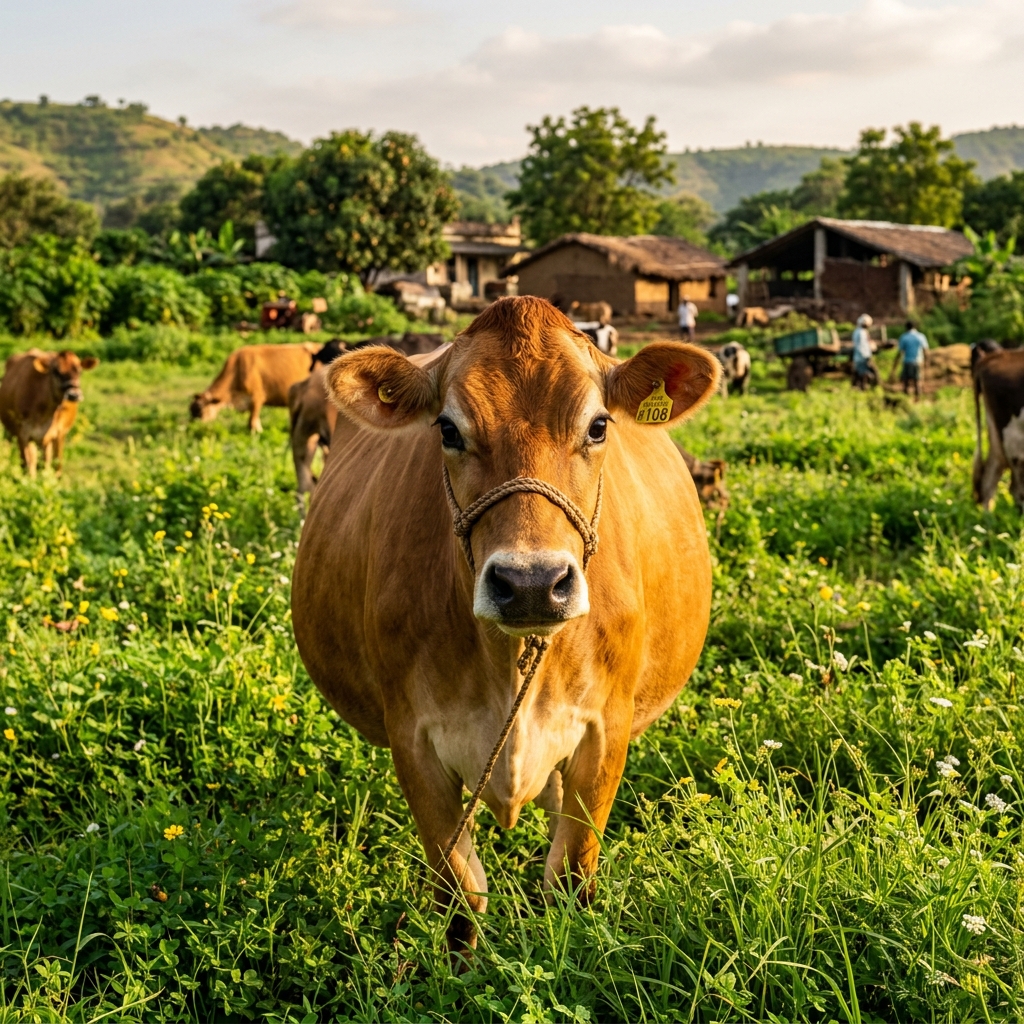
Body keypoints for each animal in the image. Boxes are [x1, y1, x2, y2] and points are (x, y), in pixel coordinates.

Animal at [0, 349, 99, 477]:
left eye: (80, 371)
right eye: (56, 371)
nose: (74, 395)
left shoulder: (59, 434)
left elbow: (55, 466)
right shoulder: (22, 434)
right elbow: (28, 466)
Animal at [189, 343, 320, 432]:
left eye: (200, 411)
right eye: (191, 411)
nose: (192, 426)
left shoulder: (257, 396)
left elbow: (252, 420)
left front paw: (256, 433)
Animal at [291, 296, 720, 950]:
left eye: (598, 426)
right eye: (448, 429)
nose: (531, 584)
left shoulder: (606, 730)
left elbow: (570, 877)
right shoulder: (413, 739)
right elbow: (460, 893)